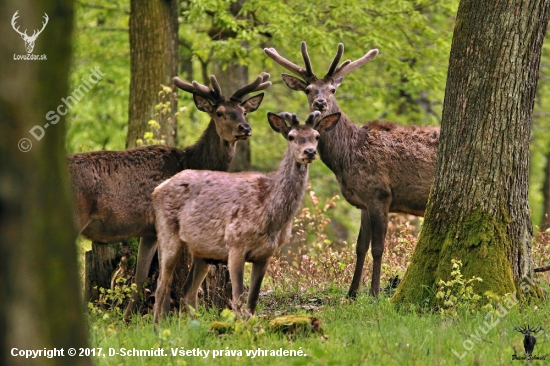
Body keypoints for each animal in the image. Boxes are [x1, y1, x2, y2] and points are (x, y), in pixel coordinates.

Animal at [151, 110, 340, 322]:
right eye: (291, 136)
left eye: (317, 136)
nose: (309, 152)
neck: (269, 215)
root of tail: (157, 190)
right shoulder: (235, 244)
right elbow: (238, 300)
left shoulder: (265, 254)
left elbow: (252, 302)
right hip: (166, 231)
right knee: (161, 285)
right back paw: (157, 326)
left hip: (202, 251)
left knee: (188, 290)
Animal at [266, 41, 442, 298]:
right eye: (308, 89)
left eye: (332, 90)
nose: (320, 104)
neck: (346, 157)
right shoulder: (362, 203)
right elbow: (360, 246)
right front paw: (351, 292)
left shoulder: (380, 194)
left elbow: (378, 247)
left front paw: (375, 293)